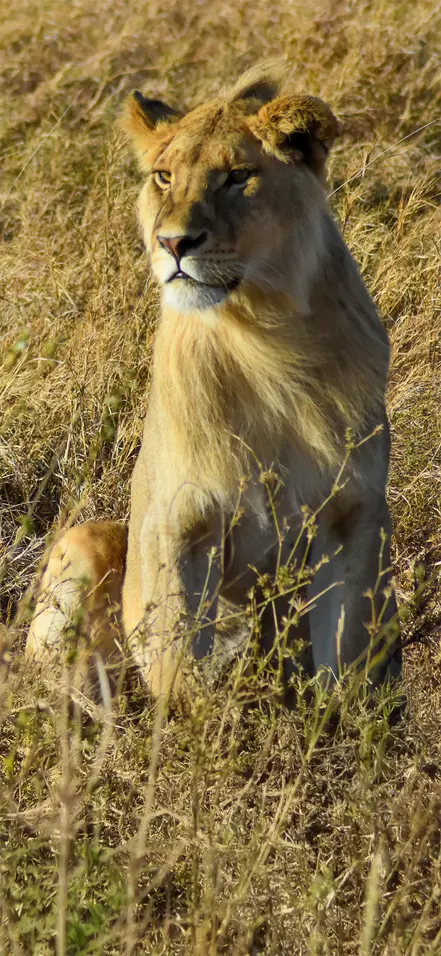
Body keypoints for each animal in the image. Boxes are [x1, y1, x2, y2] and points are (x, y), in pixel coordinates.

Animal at [26, 63, 401, 700]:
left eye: (237, 178)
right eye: (163, 176)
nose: (173, 243)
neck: (265, 339)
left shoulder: (354, 512)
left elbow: (344, 659)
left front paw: (334, 720)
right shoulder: (179, 520)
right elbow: (178, 668)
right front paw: (190, 720)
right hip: (86, 539)